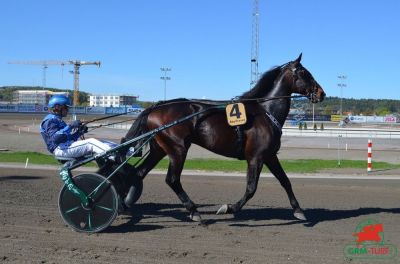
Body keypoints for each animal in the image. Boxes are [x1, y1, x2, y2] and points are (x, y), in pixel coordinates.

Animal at [122, 54, 324, 223]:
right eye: (305, 73)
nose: (322, 93)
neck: (266, 113)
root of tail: (156, 107)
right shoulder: (256, 157)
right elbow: (251, 188)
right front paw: (229, 208)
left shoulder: (270, 156)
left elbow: (285, 181)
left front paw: (298, 210)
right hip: (178, 149)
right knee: (172, 179)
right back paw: (193, 211)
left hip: (160, 149)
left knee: (140, 173)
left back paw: (126, 204)